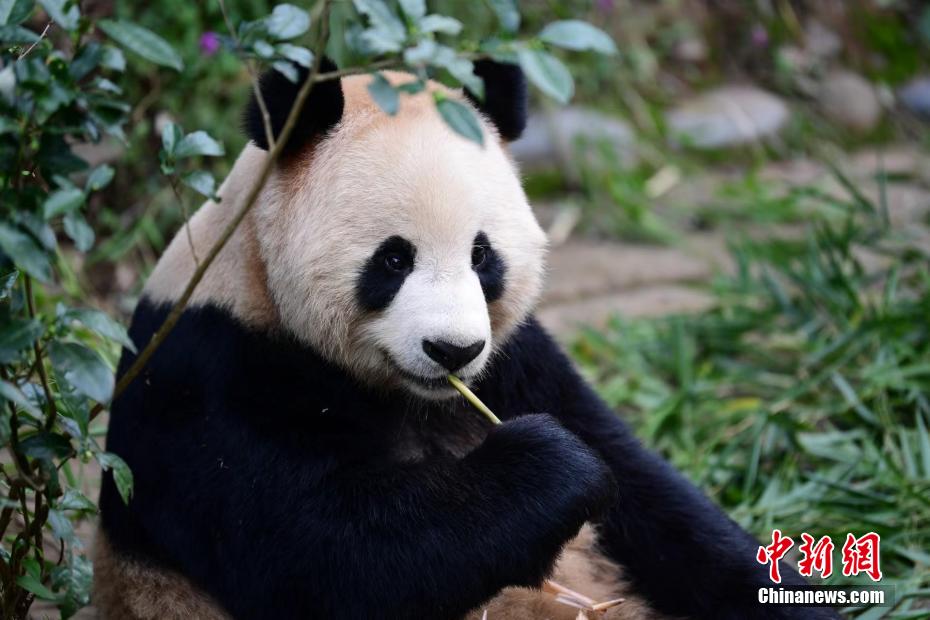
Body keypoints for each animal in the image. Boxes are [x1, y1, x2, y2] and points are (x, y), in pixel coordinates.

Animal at [93, 60, 838, 620]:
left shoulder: (516, 362)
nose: (452, 352)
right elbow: (332, 555)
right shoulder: (207, 379)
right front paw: (554, 466)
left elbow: (652, 500)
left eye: (483, 256)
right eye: (394, 259)